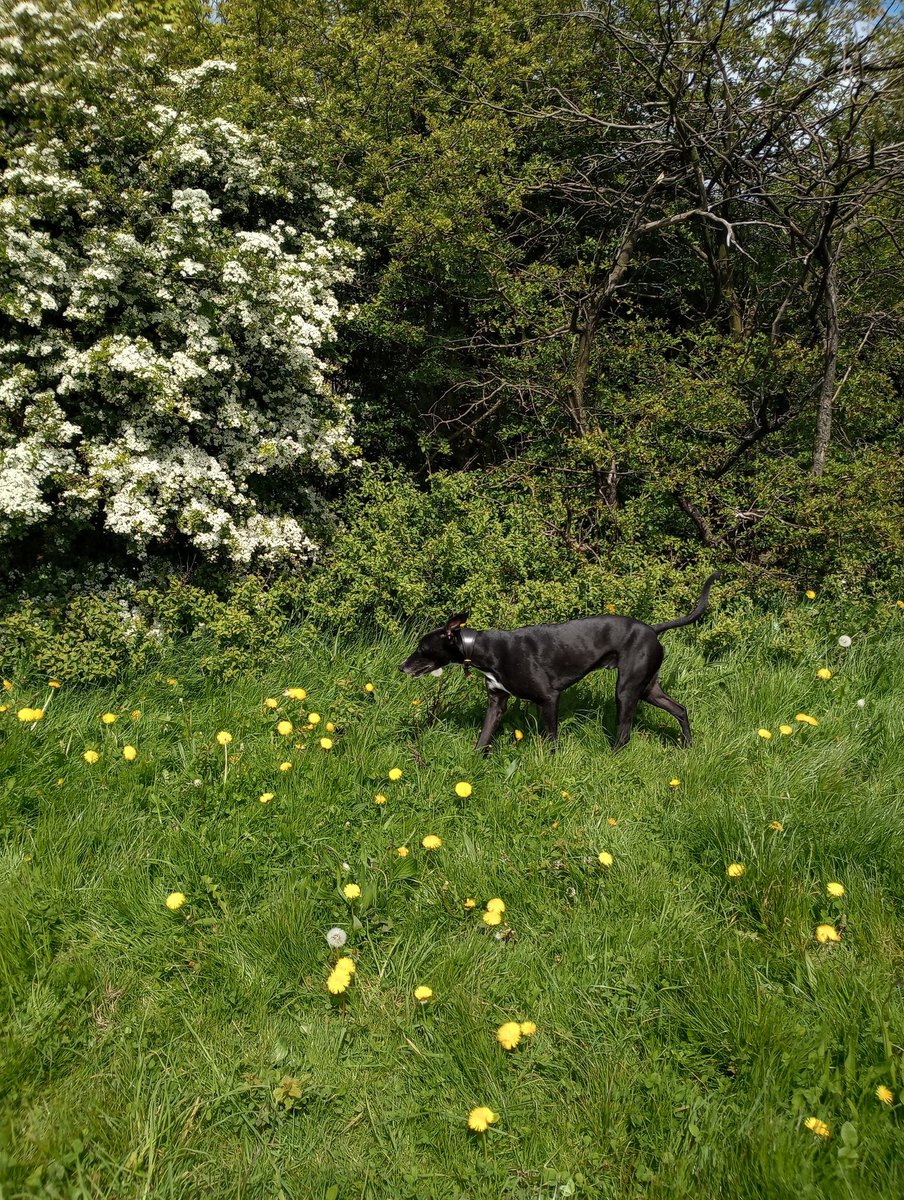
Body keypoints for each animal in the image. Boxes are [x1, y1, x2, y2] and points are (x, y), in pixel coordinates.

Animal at [400, 571, 720, 748]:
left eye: (422, 647)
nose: (401, 667)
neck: (484, 648)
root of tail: (653, 629)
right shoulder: (497, 702)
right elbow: (483, 739)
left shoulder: (549, 698)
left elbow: (552, 739)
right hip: (649, 688)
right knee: (681, 710)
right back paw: (688, 746)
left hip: (627, 690)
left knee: (624, 734)